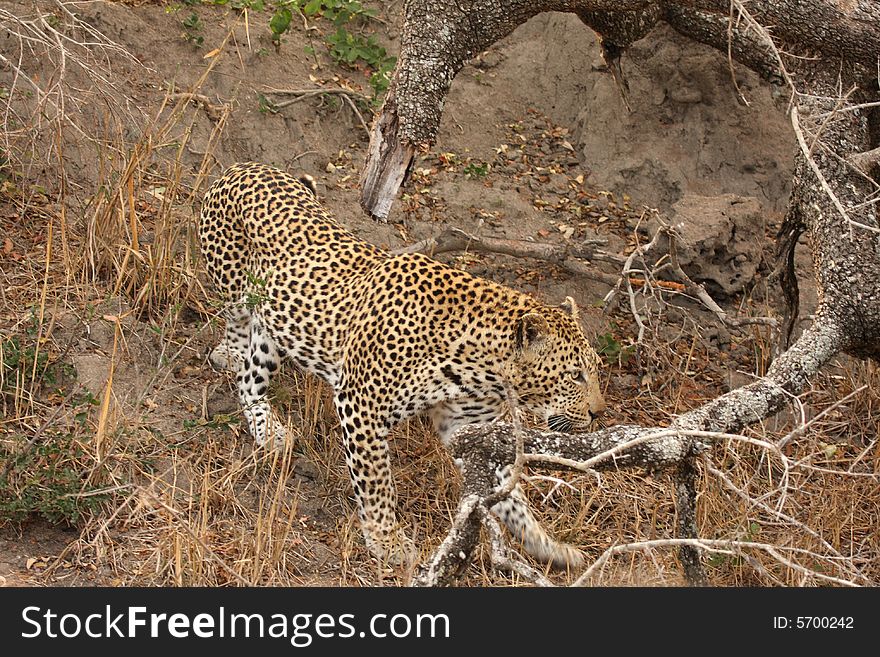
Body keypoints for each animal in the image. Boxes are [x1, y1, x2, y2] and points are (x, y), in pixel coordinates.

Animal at [199, 161, 604, 568]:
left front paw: (547, 544)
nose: (599, 413)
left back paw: (269, 431)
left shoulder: (467, 428)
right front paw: (387, 541)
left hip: (277, 326)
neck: (481, 370)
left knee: (250, 380)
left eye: (594, 370)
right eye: (575, 375)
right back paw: (231, 358)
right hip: (236, 292)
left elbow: (510, 495)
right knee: (239, 341)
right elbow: (376, 480)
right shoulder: (360, 404)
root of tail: (245, 167)